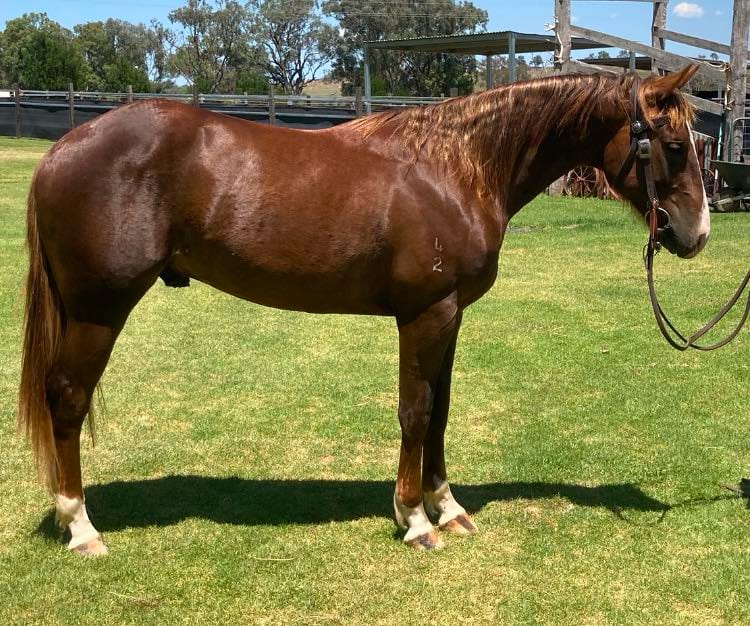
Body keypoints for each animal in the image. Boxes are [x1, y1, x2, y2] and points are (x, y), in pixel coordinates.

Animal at [18, 64, 709, 555]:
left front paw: (448, 508)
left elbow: (440, 413)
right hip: (98, 313)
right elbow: (416, 412)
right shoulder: (425, 315)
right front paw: (414, 520)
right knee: (68, 399)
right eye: (673, 145)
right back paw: (81, 527)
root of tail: (65, 147)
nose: (697, 234)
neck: (455, 169)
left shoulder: (450, 315)